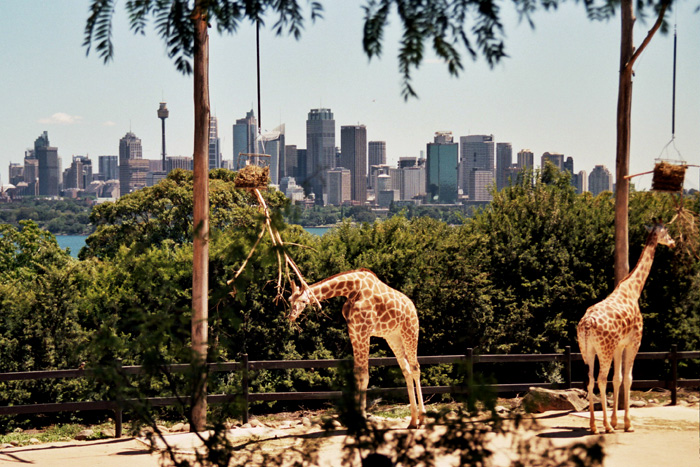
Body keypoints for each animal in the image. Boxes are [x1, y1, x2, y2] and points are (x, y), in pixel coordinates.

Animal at [288, 268, 426, 428]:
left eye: (303, 301)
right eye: (289, 299)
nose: (291, 316)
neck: (352, 289)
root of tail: (413, 307)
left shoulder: (364, 331)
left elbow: (364, 376)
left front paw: (361, 417)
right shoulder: (354, 332)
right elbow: (357, 374)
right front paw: (355, 418)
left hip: (410, 331)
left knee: (415, 368)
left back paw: (422, 418)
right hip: (393, 337)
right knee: (406, 370)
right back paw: (413, 421)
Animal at [577, 220, 675, 434]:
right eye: (666, 231)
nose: (673, 243)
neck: (633, 290)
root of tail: (586, 325)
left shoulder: (619, 345)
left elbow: (618, 378)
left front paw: (616, 421)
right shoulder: (634, 342)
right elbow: (628, 378)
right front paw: (627, 424)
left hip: (587, 350)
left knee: (590, 380)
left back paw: (594, 426)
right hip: (604, 350)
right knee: (601, 379)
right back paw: (605, 427)